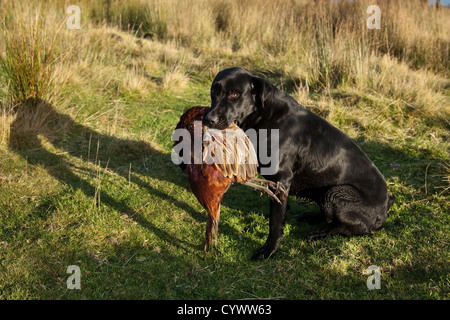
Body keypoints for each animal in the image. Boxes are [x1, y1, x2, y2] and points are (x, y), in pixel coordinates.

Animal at [202, 67, 396, 260]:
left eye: (234, 94)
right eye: (213, 91)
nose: (208, 119)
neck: (267, 116)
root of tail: (387, 204)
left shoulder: (281, 179)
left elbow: (275, 222)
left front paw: (269, 249)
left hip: (334, 193)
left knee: (347, 228)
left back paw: (318, 234)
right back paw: (311, 217)